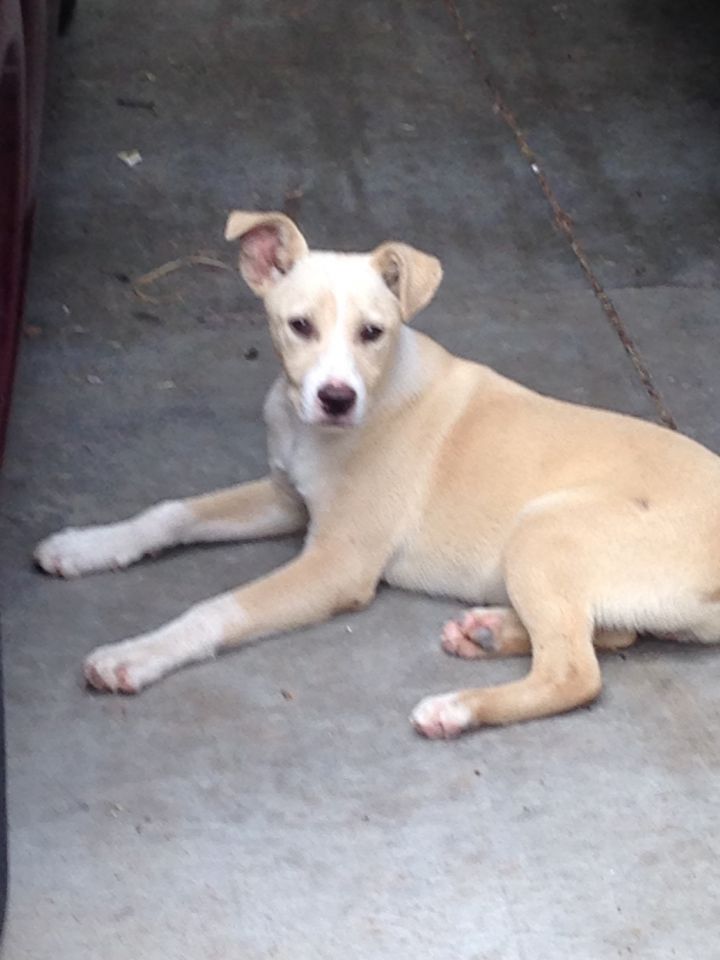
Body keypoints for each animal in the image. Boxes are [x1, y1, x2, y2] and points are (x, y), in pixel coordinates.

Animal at [35, 212, 720, 736]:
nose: (336, 399)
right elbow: (171, 512)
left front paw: (134, 654)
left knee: (575, 673)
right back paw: (488, 632)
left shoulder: (338, 563)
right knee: (612, 634)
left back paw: (457, 707)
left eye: (373, 332)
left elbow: (215, 610)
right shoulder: (286, 497)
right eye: (299, 326)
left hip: (545, 530)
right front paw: (86, 545)